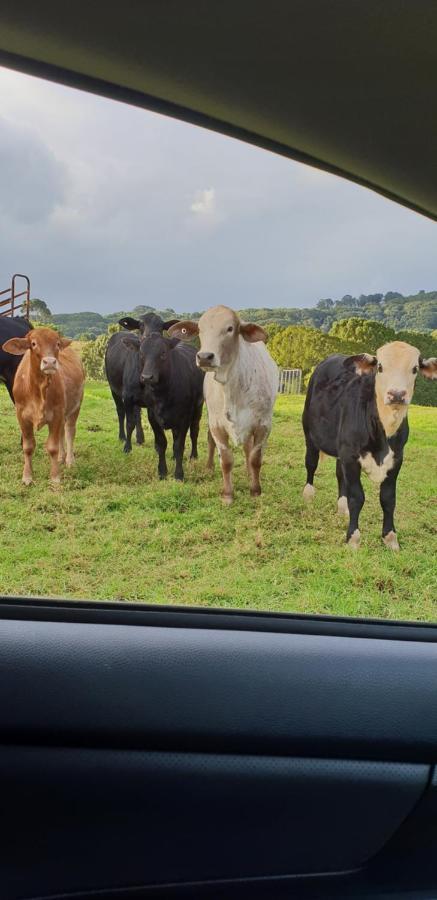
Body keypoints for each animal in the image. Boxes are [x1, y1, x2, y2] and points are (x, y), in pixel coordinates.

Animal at [2, 328, 84, 486]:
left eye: (57, 344)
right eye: (33, 343)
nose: (50, 362)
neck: (38, 390)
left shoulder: (57, 413)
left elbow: (52, 447)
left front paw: (55, 476)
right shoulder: (22, 415)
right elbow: (28, 447)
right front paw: (27, 477)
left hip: (75, 407)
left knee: (69, 431)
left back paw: (69, 460)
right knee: (62, 433)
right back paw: (61, 458)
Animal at [169, 306, 278, 502]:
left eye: (230, 329)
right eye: (200, 329)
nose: (205, 357)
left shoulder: (264, 425)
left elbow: (255, 458)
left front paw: (255, 489)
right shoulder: (216, 424)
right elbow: (226, 460)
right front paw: (227, 494)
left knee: (247, 450)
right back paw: (209, 467)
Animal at [302, 340, 436, 544]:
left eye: (415, 369)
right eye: (380, 367)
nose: (397, 394)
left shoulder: (396, 459)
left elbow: (388, 499)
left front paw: (390, 537)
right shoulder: (350, 456)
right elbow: (357, 497)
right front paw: (353, 537)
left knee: (339, 474)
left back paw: (342, 506)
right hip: (309, 434)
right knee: (311, 463)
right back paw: (308, 494)